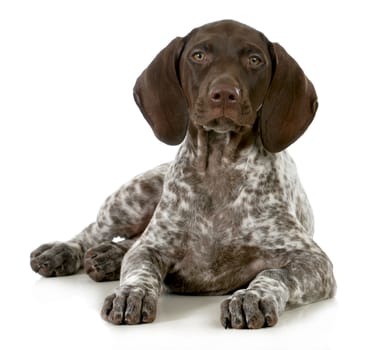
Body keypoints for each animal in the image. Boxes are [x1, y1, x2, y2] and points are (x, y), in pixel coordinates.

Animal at [31, 20, 336, 330]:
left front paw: (251, 297)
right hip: (132, 198)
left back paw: (109, 257)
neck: (220, 165)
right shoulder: (150, 248)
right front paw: (131, 294)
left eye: (254, 60)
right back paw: (62, 251)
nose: (224, 94)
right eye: (198, 56)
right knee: (95, 230)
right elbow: (140, 270)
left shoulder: (313, 260)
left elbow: (274, 274)